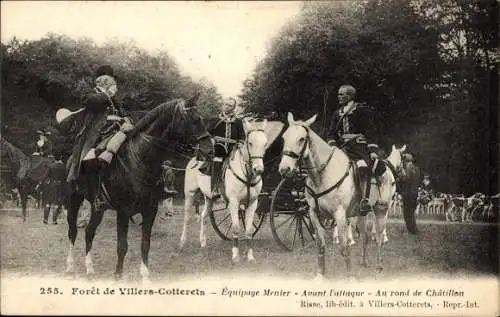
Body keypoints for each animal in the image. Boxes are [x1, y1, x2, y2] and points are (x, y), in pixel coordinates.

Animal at [63, 99, 212, 282]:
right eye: (193, 120)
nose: (210, 150)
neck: (140, 161)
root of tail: (71, 160)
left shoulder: (150, 211)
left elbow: (145, 244)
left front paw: (145, 277)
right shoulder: (123, 212)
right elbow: (122, 246)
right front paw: (118, 275)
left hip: (98, 207)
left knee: (89, 232)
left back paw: (90, 267)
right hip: (74, 200)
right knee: (73, 231)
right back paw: (70, 265)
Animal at [180, 118, 284, 262]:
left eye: (265, 143)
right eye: (250, 143)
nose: (259, 169)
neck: (247, 175)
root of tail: (195, 159)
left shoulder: (253, 203)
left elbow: (249, 230)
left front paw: (250, 256)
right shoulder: (234, 203)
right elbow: (235, 228)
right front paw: (235, 255)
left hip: (209, 198)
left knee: (203, 216)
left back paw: (203, 242)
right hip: (190, 194)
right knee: (186, 217)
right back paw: (182, 242)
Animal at [280, 111, 408, 276]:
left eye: (301, 139)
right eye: (284, 137)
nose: (284, 169)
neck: (323, 175)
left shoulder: (339, 214)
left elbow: (344, 248)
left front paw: (349, 275)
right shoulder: (314, 214)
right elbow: (321, 246)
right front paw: (320, 275)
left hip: (381, 208)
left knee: (378, 236)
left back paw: (379, 265)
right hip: (362, 213)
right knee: (365, 236)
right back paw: (364, 261)